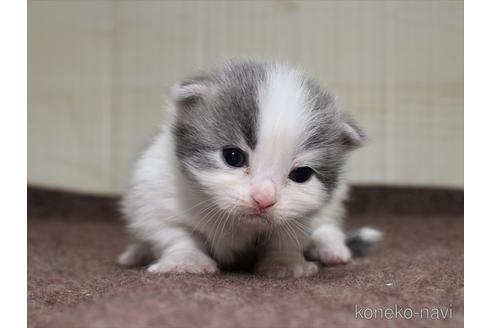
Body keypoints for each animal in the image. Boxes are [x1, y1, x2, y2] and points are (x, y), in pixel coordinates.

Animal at [118, 59, 380, 276]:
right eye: (233, 157)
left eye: (301, 174)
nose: (264, 200)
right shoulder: (153, 187)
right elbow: (172, 231)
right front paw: (186, 261)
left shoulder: (303, 212)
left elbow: (287, 237)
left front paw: (284, 263)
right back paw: (135, 254)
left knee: (327, 226)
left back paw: (332, 248)